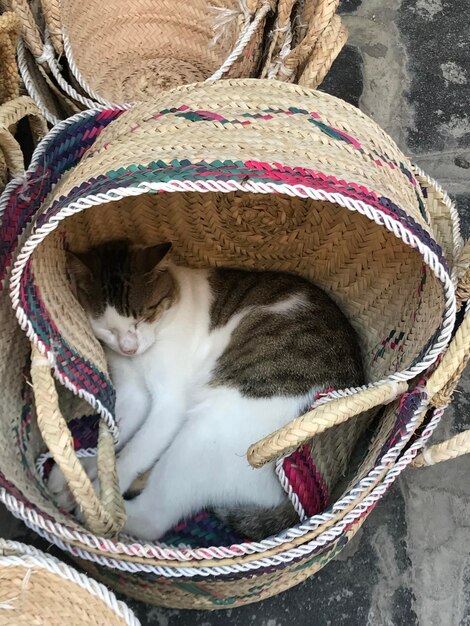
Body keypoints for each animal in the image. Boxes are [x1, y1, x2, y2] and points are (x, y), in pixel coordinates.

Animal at [48, 236, 364, 540]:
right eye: (106, 327)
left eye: (145, 316)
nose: (129, 347)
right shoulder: (134, 395)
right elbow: (111, 438)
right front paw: (83, 470)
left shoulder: (169, 405)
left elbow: (133, 453)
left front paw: (100, 495)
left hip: (201, 434)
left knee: (154, 519)